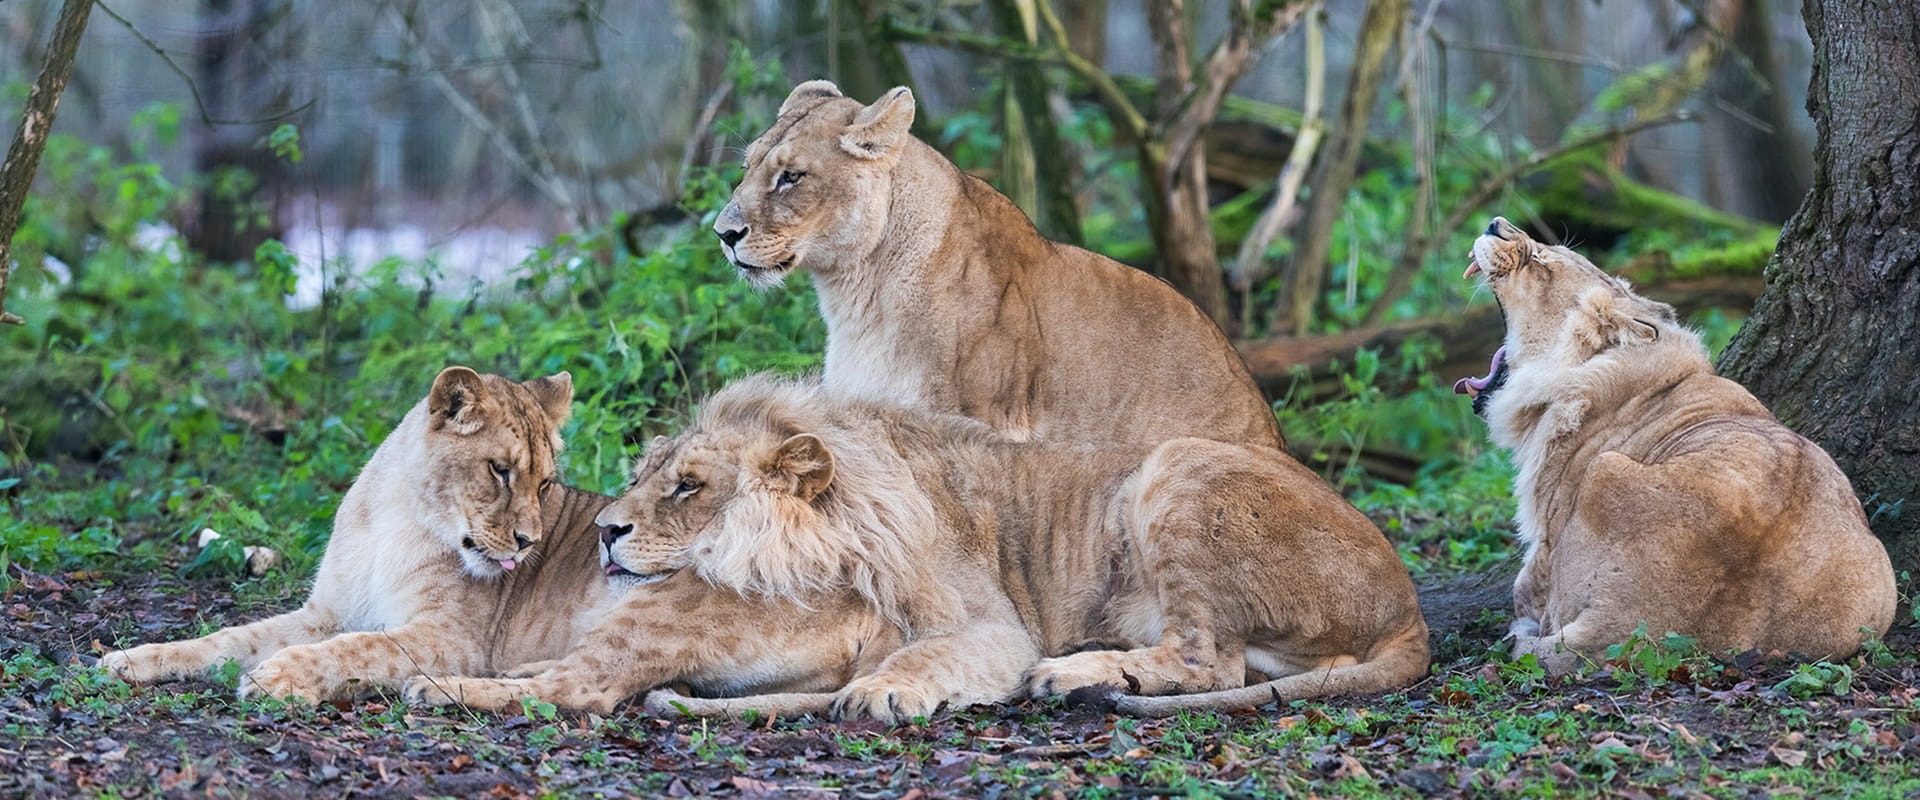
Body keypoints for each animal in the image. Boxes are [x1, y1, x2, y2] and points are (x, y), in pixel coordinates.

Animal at [101, 367, 618, 701]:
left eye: (545, 483)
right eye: (500, 470)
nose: (528, 541)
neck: (398, 519)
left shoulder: (456, 641)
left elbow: (360, 648)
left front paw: (279, 676)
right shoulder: (328, 613)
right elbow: (229, 638)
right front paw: (130, 659)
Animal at [403, 375, 1428, 720]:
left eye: (689, 486)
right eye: (648, 471)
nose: (606, 532)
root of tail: (1410, 606)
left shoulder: (991, 624)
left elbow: (933, 656)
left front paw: (886, 692)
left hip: (1175, 464)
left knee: (1208, 657)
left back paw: (1076, 673)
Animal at [1457, 217, 1896, 674]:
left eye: (1542, 261)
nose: (1495, 223)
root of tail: (1633, 625)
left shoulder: (1548, 527)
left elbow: (1527, 582)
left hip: (1605, 469)